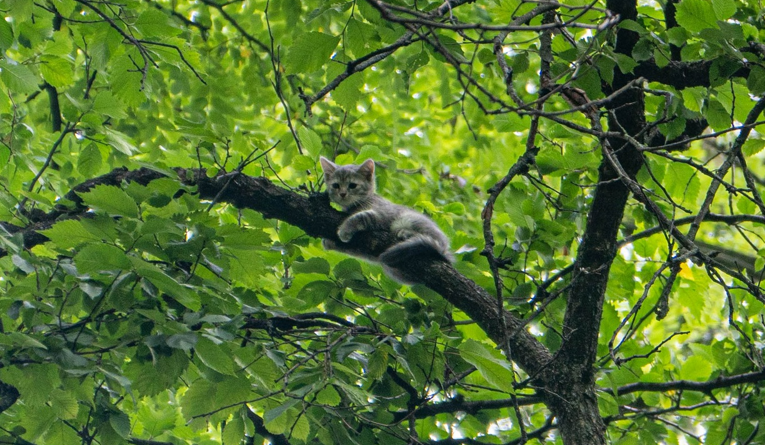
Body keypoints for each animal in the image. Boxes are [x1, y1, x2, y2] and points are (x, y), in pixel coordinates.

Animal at [318, 156, 450, 282]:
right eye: (336, 185)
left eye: (352, 185)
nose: (342, 193)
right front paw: (329, 242)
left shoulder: (384, 214)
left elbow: (362, 216)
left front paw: (345, 230)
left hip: (411, 219)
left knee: (436, 241)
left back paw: (406, 232)